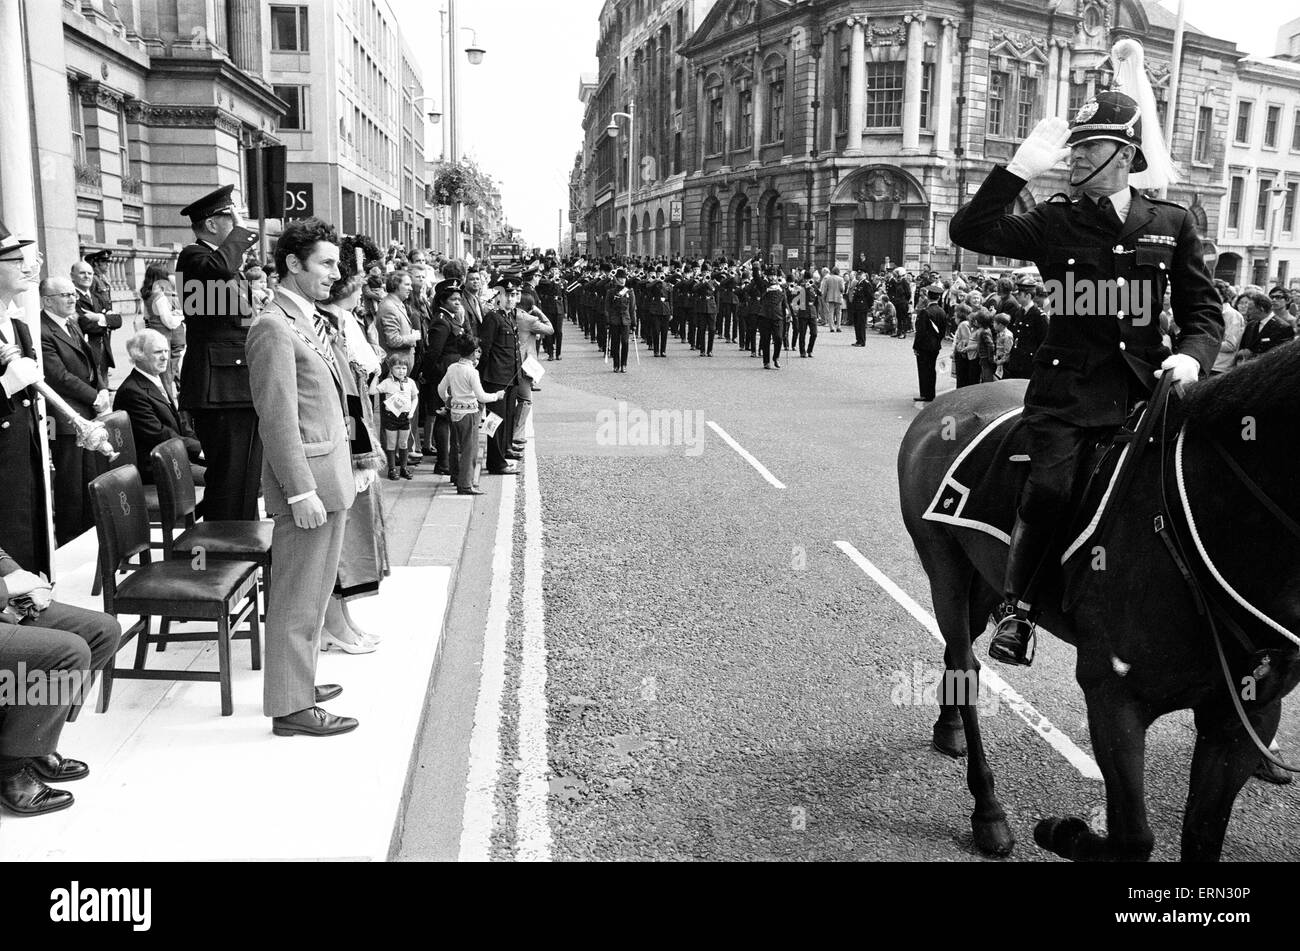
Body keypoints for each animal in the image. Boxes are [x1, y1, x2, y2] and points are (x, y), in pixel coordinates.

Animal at [899, 342, 1300, 862]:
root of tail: (943, 406)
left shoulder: (1248, 714)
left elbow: (1202, 835)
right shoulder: (1113, 696)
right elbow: (1133, 838)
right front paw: (1061, 832)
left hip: (984, 576)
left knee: (956, 648)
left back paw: (947, 729)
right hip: (944, 564)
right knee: (966, 663)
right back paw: (989, 813)